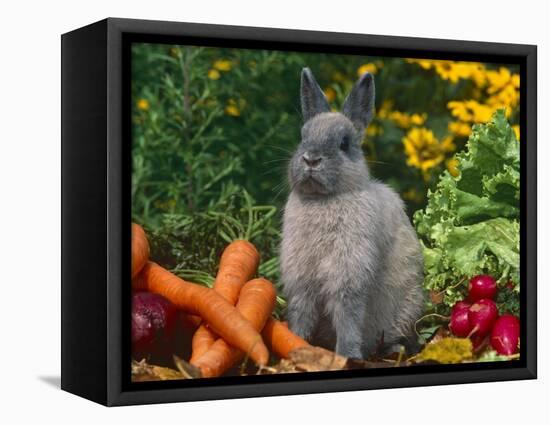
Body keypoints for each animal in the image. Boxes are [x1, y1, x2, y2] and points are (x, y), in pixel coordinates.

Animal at [280, 68, 426, 358]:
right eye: (303, 137)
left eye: (344, 143)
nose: (311, 159)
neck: (324, 200)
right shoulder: (301, 279)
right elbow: (301, 312)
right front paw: (297, 341)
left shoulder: (349, 275)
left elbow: (348, 315)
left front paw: (347, 355)